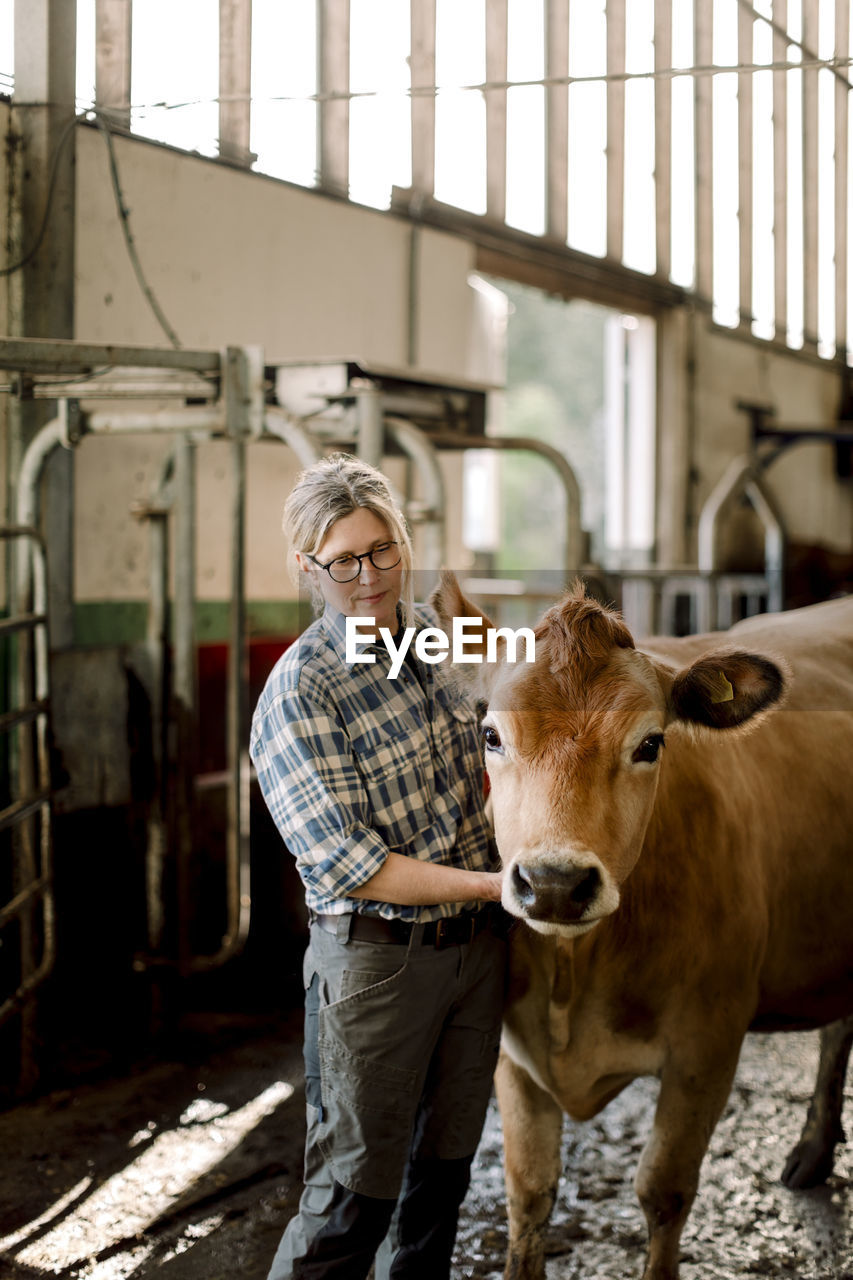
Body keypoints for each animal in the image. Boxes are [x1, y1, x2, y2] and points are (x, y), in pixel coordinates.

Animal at [432, 578, 850, 1280]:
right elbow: (529, 1190)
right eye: (490, 735)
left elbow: (664, 1190)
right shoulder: (513, 1050)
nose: (553, 882)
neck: (577, 971)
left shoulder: (708, 1043)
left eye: (651, 744)